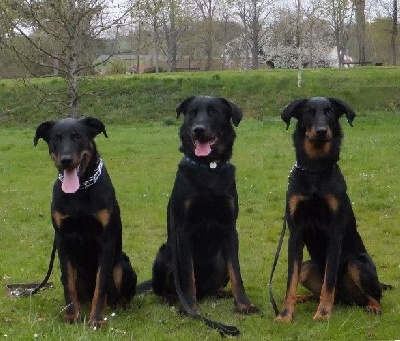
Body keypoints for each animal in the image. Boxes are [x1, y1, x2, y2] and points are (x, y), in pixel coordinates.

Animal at [33, 116, 136, 326]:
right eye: (56, 138)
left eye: (77, 136)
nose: (66, 160)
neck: (79, 191)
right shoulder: (62, 239)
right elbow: (69, 285)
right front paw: (73, 316)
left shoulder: (106, 241)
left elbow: (101, 284)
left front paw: (96, 320)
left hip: (122, 265)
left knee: (119, 293)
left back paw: (123, 305)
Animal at [151, 95, 260, 314]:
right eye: (192, 112)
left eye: (214, 112)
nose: (198, 129)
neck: (209, 169)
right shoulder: (183, 230)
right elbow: (187, 274)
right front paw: (189, 307)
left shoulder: (229, 228)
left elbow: (236, 272)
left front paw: (244, 304)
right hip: (165, 254)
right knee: (167, 288)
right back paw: (173, 299)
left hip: (220, 259)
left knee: (215, 286)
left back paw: (222, 293)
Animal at [276, 96, 390, 322]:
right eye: (309, 112)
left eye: (330, 112)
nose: (321, 131)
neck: (315, 169)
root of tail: (346, 299)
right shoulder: (295, 233)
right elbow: (290, 282)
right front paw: (285, 314)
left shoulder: (334, 234)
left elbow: (329, 281)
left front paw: (322, 314)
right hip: (307, 266)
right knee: (316, 291)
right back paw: (302, 299)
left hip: (357, 264)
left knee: (374, 296)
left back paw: (372, 307)